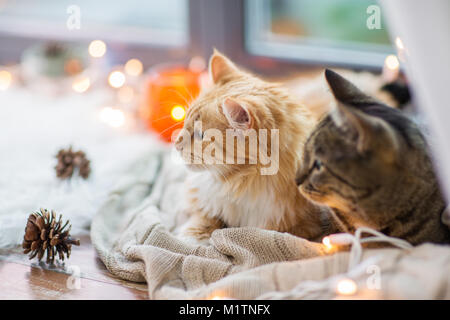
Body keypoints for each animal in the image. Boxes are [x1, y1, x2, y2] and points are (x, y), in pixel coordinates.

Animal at [174, 50, 328, 240]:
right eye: (184, 122)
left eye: (200, 135)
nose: (176, 144)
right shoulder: (204, 199)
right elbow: (204, 216)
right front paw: (191, 236)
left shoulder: (302, 226)